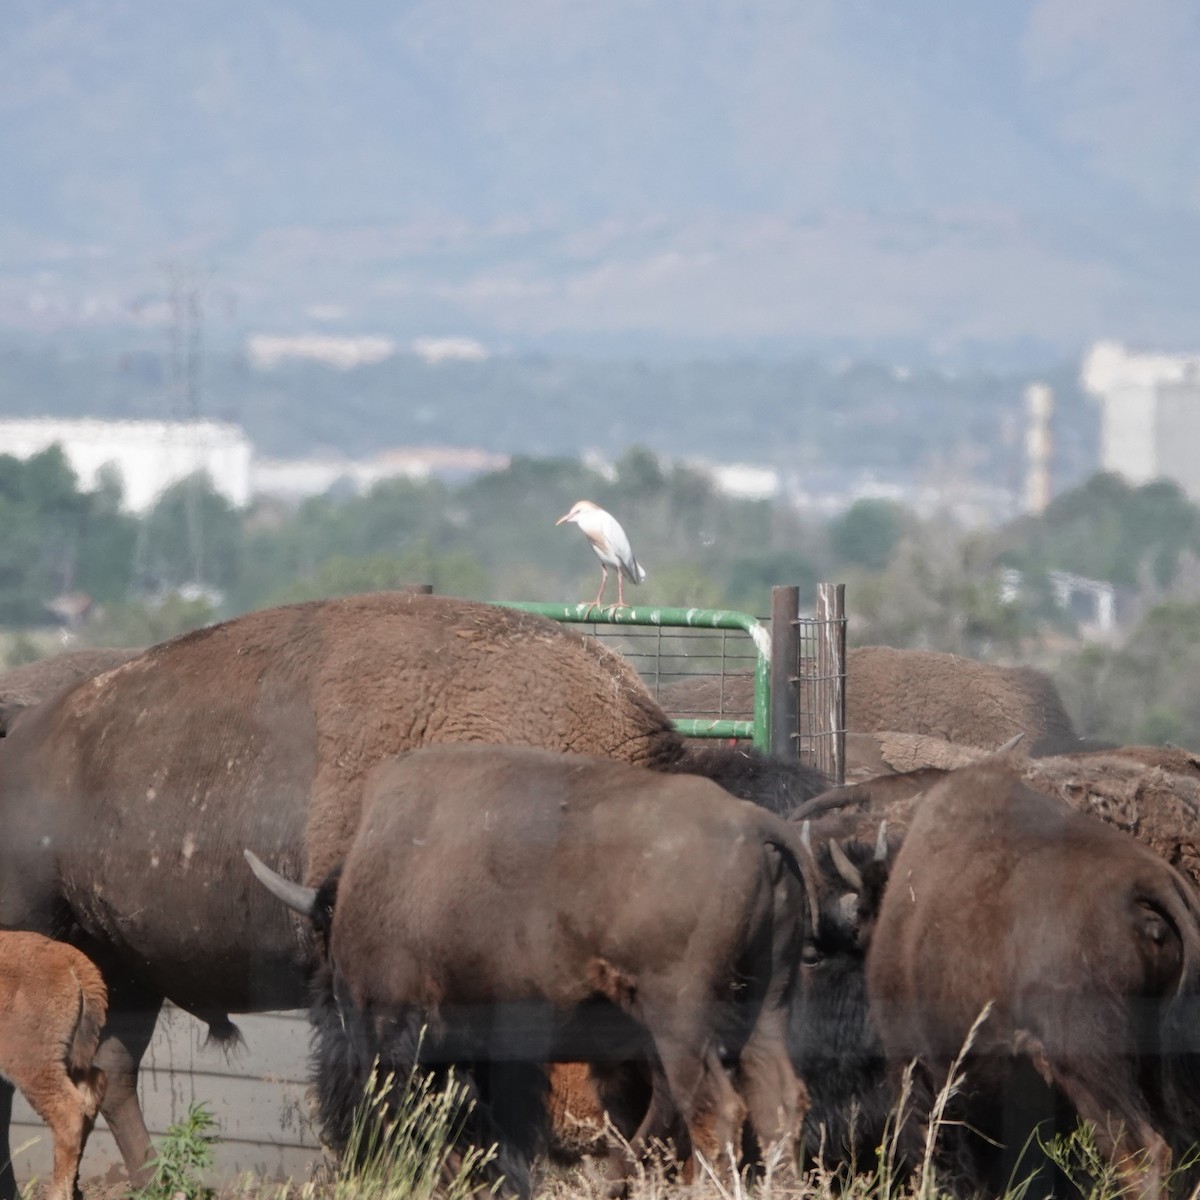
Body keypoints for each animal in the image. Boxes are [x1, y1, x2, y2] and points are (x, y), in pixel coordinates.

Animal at [0, 931, 108, 1200]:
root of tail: (66, 954)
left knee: (67, 1110)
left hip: (32, 1063)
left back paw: (57, 1193)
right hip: (67, 1056)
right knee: (92, 1088)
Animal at [244, 744, 816, 1195]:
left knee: (714, 1108)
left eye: (325, 954)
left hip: (681, 1019)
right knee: (776, 1101)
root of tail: (752, 824)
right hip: (766, 1002)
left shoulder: (403, 1031)